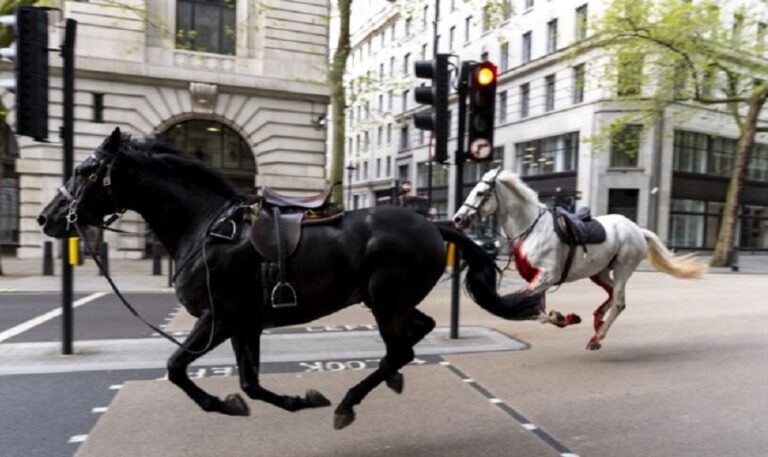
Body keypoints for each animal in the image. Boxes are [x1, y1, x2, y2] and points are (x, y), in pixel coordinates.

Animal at [37, 127, 540, 428]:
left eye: (84, 170)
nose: (47, 218)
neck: (205, 227)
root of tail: (433, 225)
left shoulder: (218, 319)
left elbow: (177, 368)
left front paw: (222, 404)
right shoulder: (244, 324)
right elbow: (250, 384)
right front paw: (294, 401)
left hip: (385, 300)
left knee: (401, 347)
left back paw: (350, 401)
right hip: (387, 301)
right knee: (416, 333)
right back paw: (387, 380)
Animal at [450, 167, 708, 350]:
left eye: (480, 193)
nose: (458, 219)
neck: (532, 229)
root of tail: (636, 229)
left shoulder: (546, 276)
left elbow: (520, 306)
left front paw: (563, 317)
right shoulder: (538, 279)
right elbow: (539, 312)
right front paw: (564, 317)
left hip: (623, 268)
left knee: (619, 301)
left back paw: (598, 337)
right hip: (600, 271)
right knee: (613, 295)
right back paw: (597, 322)